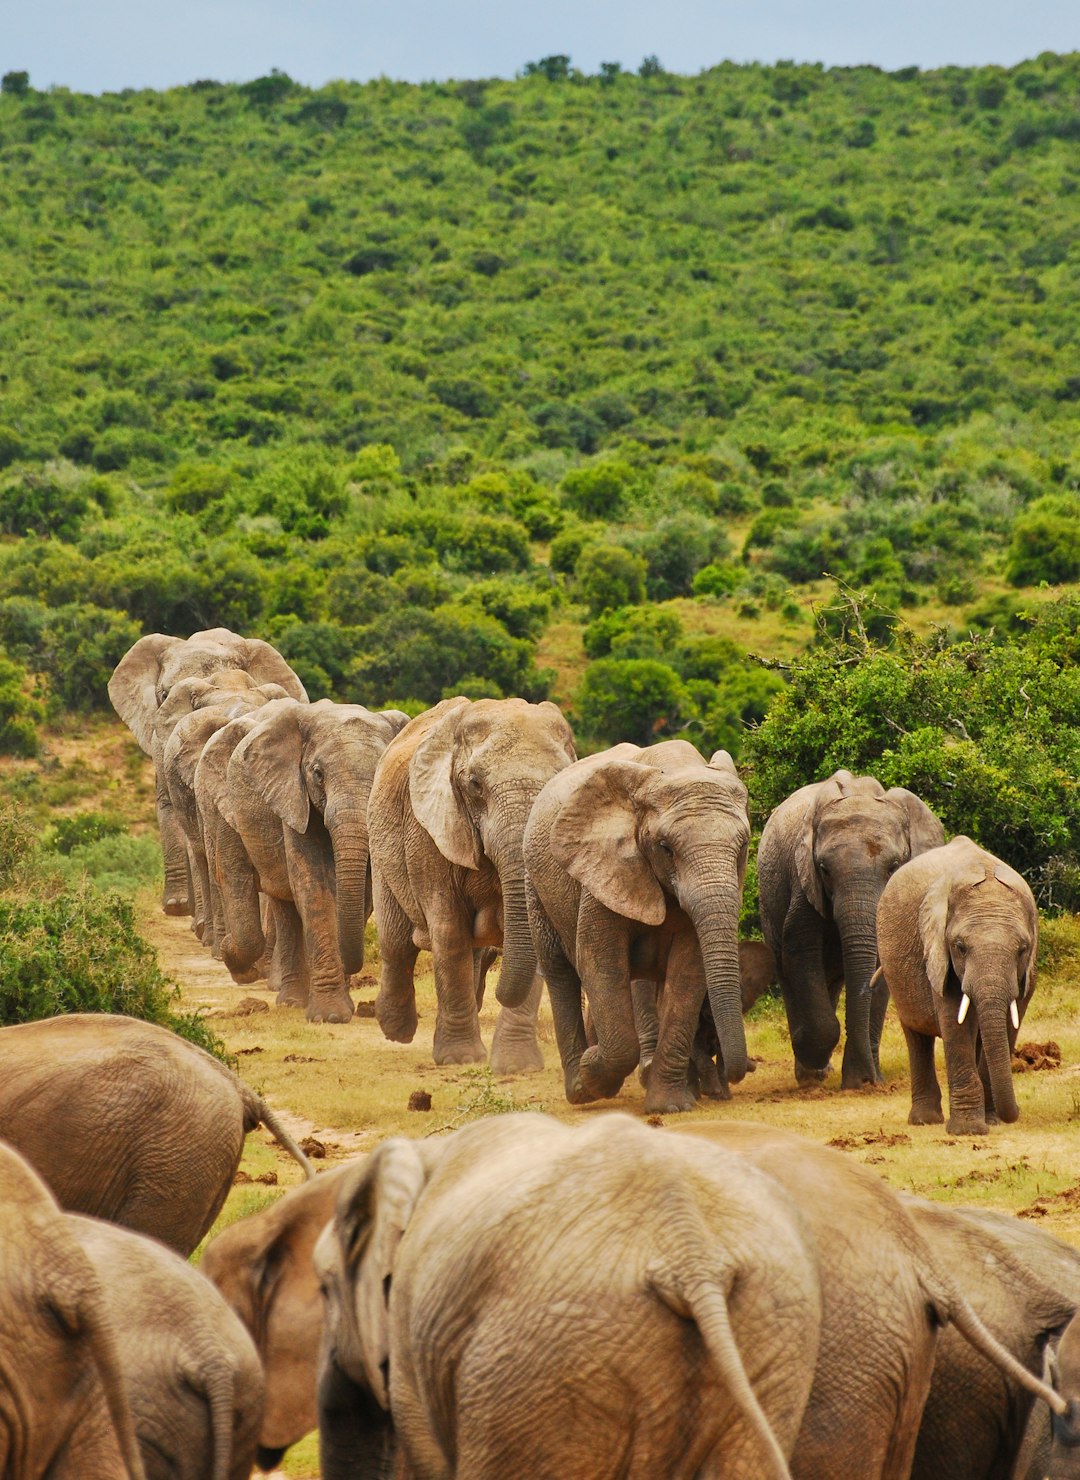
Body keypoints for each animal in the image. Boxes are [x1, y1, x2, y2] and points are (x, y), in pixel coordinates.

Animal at [218, 698, 410, 1022]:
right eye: (318, 774)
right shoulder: (293, 796)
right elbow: (314, 888)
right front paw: (329, 1016)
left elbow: (363, 894)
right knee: (282, 904)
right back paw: (290, 1000)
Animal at [368, 695, 577, 1071]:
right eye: (475, 785)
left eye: (557, 780)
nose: (500, 994)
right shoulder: (428, 832)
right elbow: (449, 932)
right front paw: (460, 1059)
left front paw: (518, 1066)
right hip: (381, 843)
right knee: (397, 942)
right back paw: (396, 1030)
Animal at [524, 739, 751, 1114]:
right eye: (666, 848)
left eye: (743, 846)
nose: (737, 1072)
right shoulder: (602, 869)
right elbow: (599, 962)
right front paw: (592, 1071)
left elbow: (688, 973)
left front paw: (670, 1106)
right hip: (535, 885)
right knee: (560, 973)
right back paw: (579, 1089)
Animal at [757, 769, 944, 1089]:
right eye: (824, 869)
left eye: (894, 866)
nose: (872, 1081)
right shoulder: (803, 882)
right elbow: (800, 950)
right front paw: (818, 1062)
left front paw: (861, 1081)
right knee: (788, 970)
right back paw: (811, 1073)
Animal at [875, 835, 1038, 1134]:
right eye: (960, 947)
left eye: (1022, 949)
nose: (1015, 1114)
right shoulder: (938, 954)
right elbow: (955, 1022)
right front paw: (968, 1131)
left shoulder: (1027, 973)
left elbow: (1011, 1022)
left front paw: (990, 1121)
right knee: (916, 1035)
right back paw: (924, 1120)